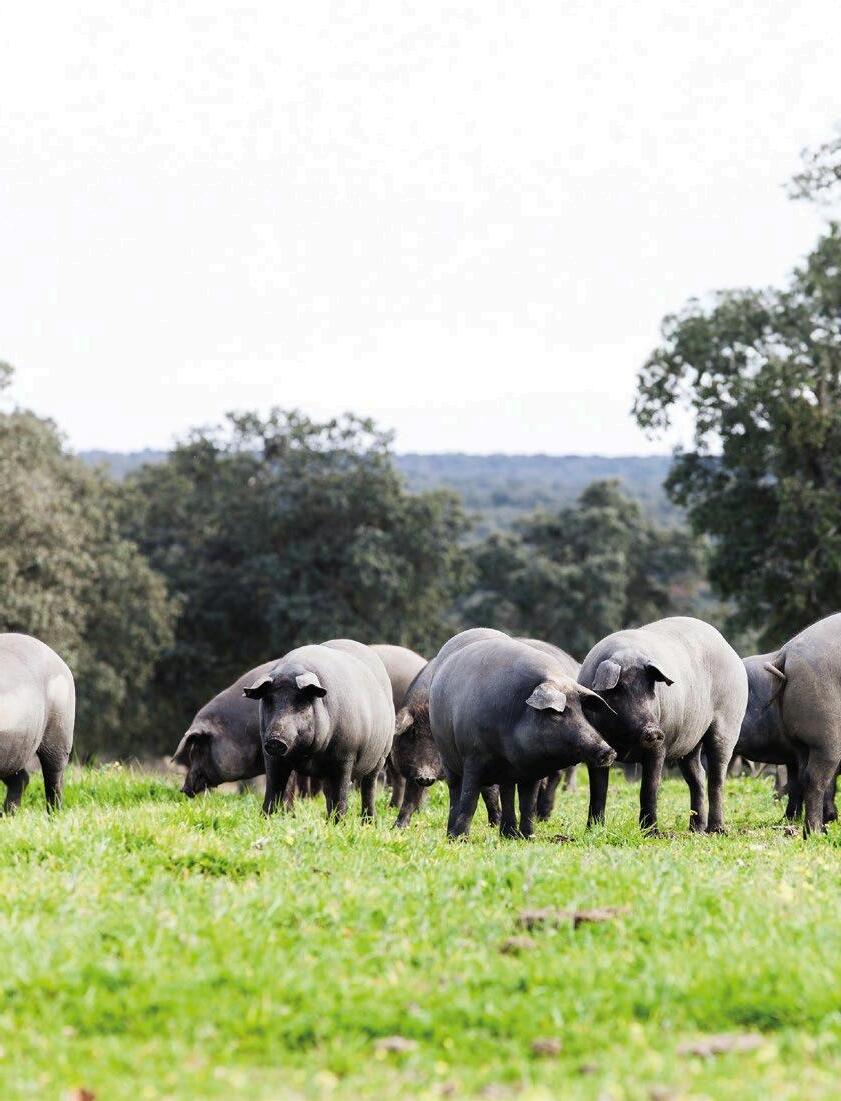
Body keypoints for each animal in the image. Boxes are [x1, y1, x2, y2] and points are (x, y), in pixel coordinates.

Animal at [243, 638, 395, 819]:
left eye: (301, 701)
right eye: (270, 700)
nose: (276, 739)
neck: (310, 756)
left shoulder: (345, 755)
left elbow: (341, 795)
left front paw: (340, 823)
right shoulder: (272, 757)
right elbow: (273, 790)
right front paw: (267, 818)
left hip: (381, 755)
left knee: (368, 788)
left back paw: (368, 821)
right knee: (329, 793)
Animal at [428, 634, 616, 838]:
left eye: (582, 711)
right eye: (556, 714)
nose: (609, 751)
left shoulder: (532, 770)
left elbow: (527, 804)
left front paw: (529, 837)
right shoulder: (472, 756)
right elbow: (469, 800)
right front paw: (461, 838)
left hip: (506, 776)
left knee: (507, 794)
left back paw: (508, 835)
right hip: (447, 759)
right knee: (455, 793)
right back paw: (451, 835)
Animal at [578, 616, 748, 835]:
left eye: (651, 689)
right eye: (618, 691)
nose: (654, 731)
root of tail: (728, 648)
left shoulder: (661, 747)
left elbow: (650, 787)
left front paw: (652, 834)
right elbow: (598, 789)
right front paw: (592, 831)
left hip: (728, 724)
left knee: (717, 777)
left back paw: (716, 830)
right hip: (690, 742)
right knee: (697, 776)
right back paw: (696, 829)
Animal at [740, 615, 841, 835]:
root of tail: (786, 653)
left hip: (801, 741)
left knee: (802, 777)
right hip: (827, 732)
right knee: (816, 777)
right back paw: (815, 830)